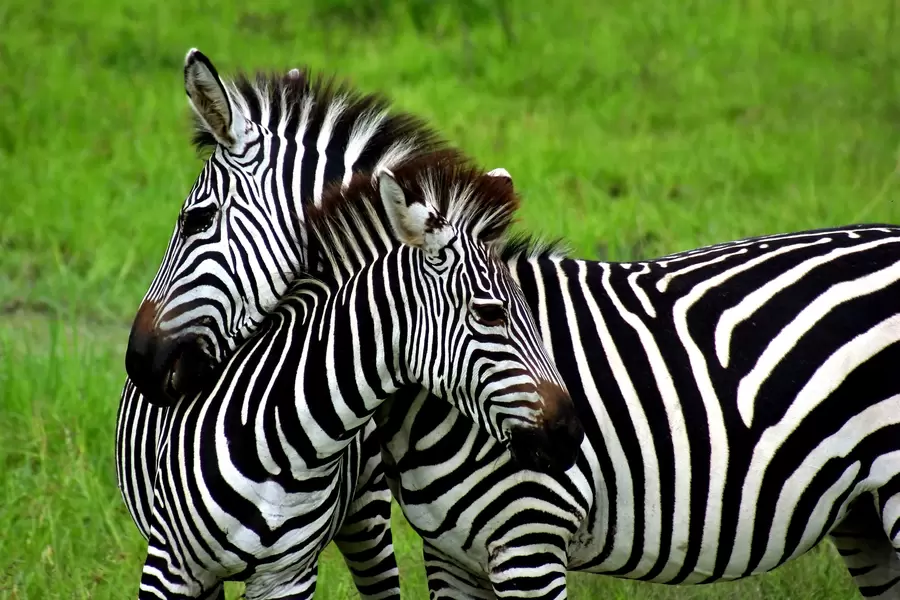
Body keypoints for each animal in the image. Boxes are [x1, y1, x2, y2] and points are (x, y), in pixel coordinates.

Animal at [126, 154, 584, 599]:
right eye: (490, 313)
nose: (570, 432)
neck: (282, 444)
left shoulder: (287, 576)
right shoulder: (169, 564)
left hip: (367, 517)